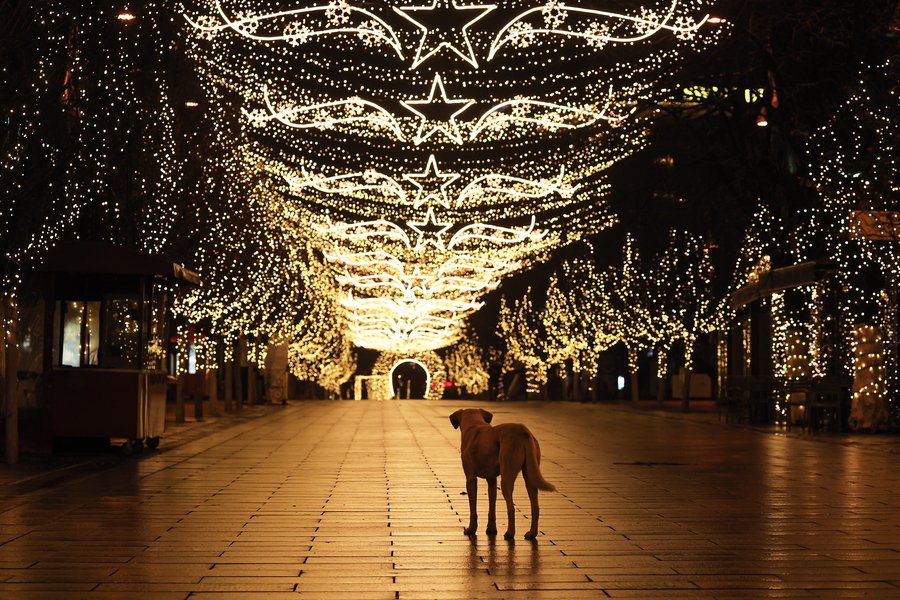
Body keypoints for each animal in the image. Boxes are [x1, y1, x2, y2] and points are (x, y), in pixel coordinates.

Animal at [450, 408, 556, 540]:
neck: (474, 425)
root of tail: (522, 430)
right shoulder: (492, 480)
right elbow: (492, 506)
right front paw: (491, 529)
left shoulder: (471, 479)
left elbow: (473, 508)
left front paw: (471, 529)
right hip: (530, 475)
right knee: (535, 507)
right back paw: (532, 533)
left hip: (506, 478)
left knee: (511, 508)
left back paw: (510, 533)